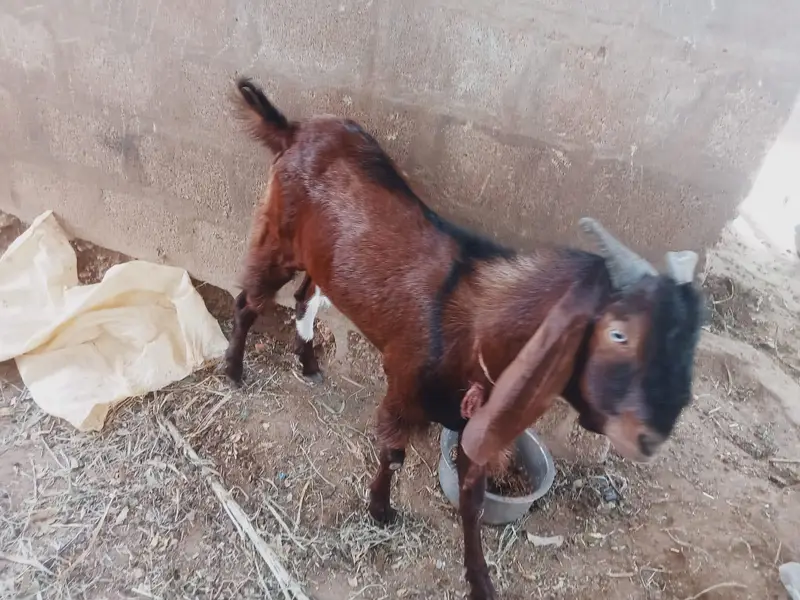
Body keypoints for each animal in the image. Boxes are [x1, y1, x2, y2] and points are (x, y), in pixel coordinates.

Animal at [225, 77, 704, 600]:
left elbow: (473, 505)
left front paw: (480, 581)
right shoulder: (403, 390)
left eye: (691, 342)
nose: (650, 437)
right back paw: (234, 371)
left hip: (322, 262)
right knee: (248, 300)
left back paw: (309, 363)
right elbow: (393, 454)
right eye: (618, 333)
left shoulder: (477, 423)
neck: (482, 332)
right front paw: (381, 511)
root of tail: (293, 129)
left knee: (305, 299)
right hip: (276, 239)